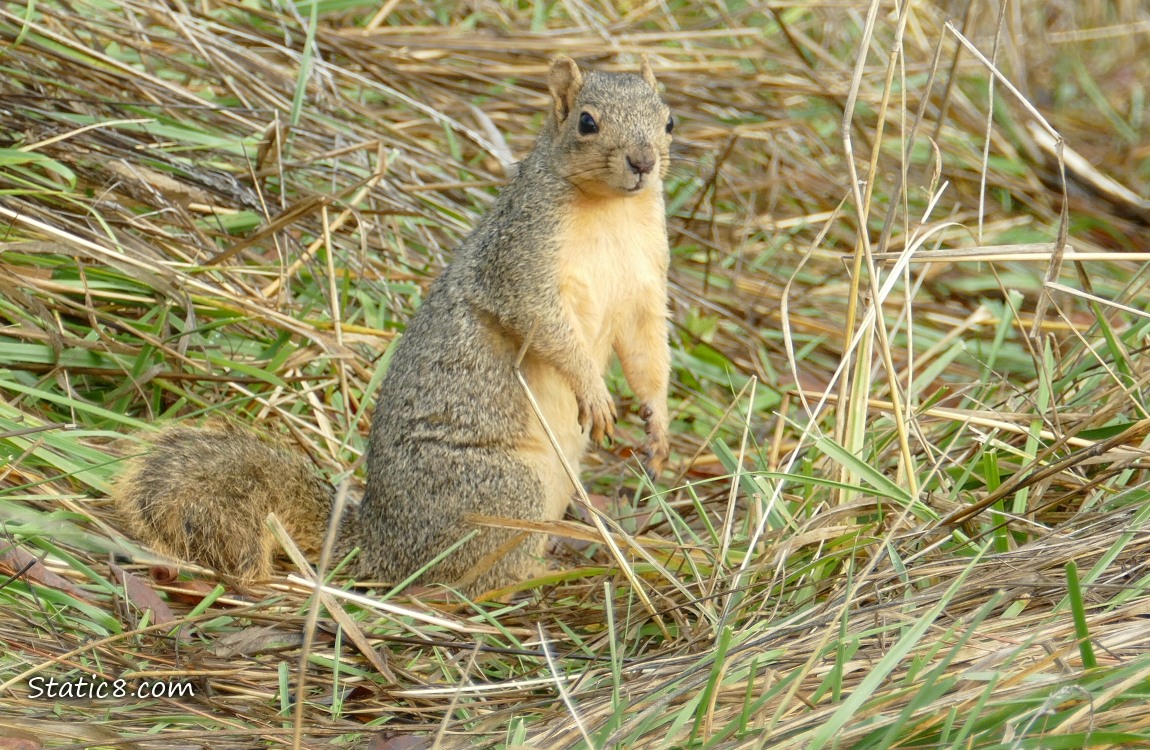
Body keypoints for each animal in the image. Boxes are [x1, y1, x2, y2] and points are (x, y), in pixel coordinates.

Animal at [110, 55, 671, 593]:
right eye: (586, 122)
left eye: (667, 120)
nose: (643, 163)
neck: (611, 213)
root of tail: (380, 543)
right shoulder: (519, 261)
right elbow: (543, 323)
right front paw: (594, 392)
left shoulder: (644, 286)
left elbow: (647, 352)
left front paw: (657, 426)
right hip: (505, 489)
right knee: (461, 578)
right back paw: (536, 578)